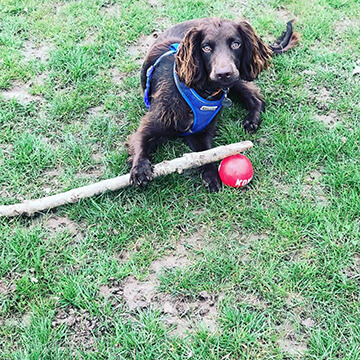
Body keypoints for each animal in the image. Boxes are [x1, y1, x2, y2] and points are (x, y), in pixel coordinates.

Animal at [125, 17, 300, 191]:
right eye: (206, 48)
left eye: (236, 44)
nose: (223, 74)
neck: (203, 91)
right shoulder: (152, 124)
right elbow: (141, 140)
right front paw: (140, 169)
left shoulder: (201, 132)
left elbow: (206, 154)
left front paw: (211, 176)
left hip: (236, 78)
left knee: (256, 98)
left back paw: (252, 120)